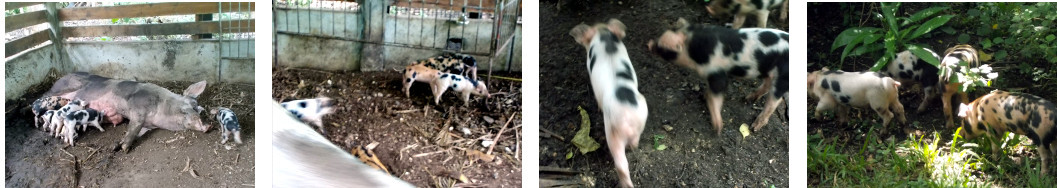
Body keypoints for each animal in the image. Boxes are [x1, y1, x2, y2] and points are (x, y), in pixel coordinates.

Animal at [41, 72, 210, 153]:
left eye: (199, 109)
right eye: (191, 106)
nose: (208, 126)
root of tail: (60, 78)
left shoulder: (147, 126)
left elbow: (137, 132)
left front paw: (117, 146)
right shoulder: (137, 110)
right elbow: (133, 128)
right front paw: (125, 148)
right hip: (60, 89)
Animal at [570, 18, 642, 186]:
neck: (604, 35)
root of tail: (628, 115)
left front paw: (597, 107)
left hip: (612, 132)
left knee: (621, 164)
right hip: (641, 121)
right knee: (635, 142)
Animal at [642, 17, 786, 134]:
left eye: (663, 47)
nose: (649, 44)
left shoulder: (717, 72)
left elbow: (716, 95)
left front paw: (718, 129)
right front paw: (704, 95)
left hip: (783, 76)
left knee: (775, 100)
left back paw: (754, 127)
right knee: (767, 85)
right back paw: (747, 99)